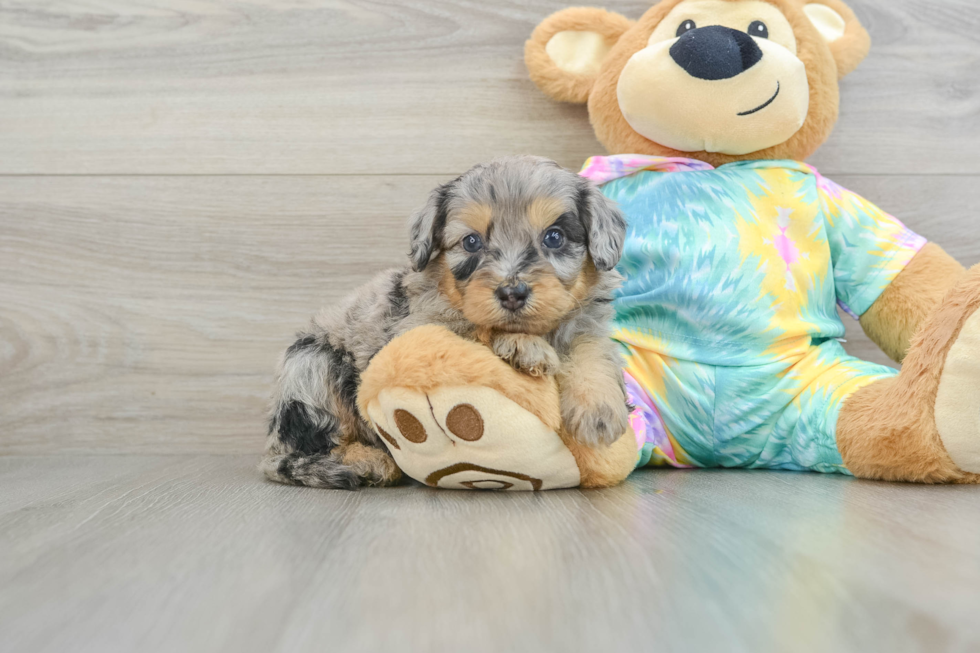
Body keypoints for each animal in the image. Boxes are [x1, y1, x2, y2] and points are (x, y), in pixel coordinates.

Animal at [260, 155, 628, 486]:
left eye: (554, 237)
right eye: (471, 242)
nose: (512, 293)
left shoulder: (586, 324)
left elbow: (592, 350)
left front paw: (599, 411)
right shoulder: (417, 327)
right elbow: (475, 328)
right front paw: (524, 346)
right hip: (310, 366)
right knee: (295, 453)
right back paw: (365, 462)